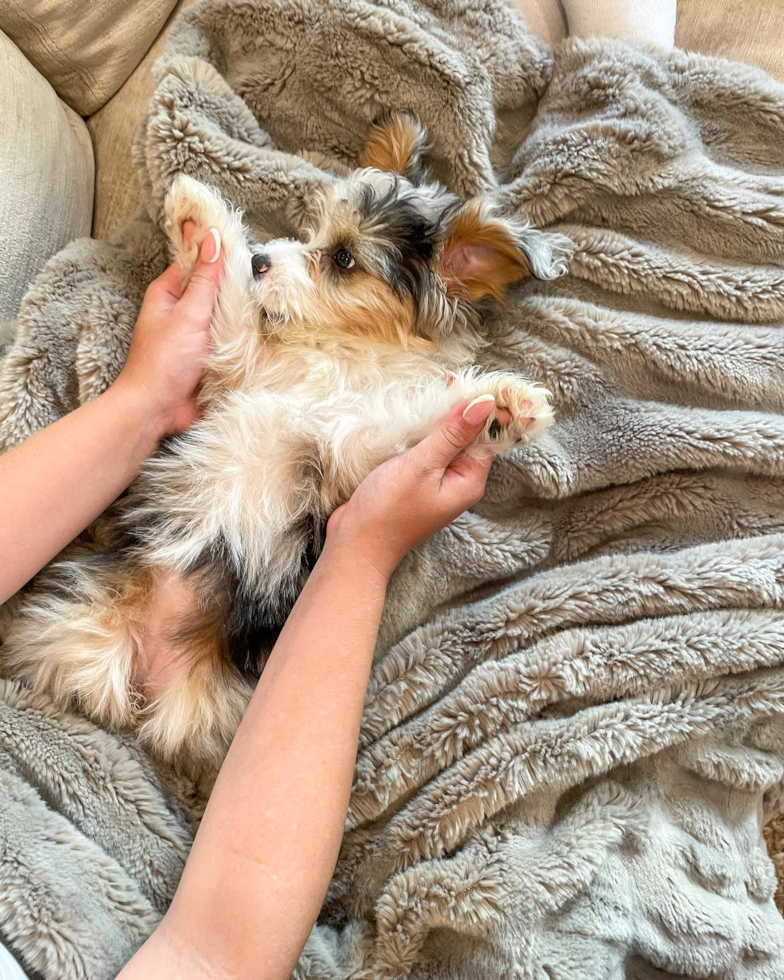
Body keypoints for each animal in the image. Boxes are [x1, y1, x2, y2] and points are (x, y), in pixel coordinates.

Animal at [3, 113, 572, 764]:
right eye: (312, 231)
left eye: (344, 258)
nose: (259, 259)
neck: (342, 355)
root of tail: (147, 674)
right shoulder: (241, 366)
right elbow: (228, 305)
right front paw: (197, 212)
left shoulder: (350, 453)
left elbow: (401, 413)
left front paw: (500, 404)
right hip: (72, 624)